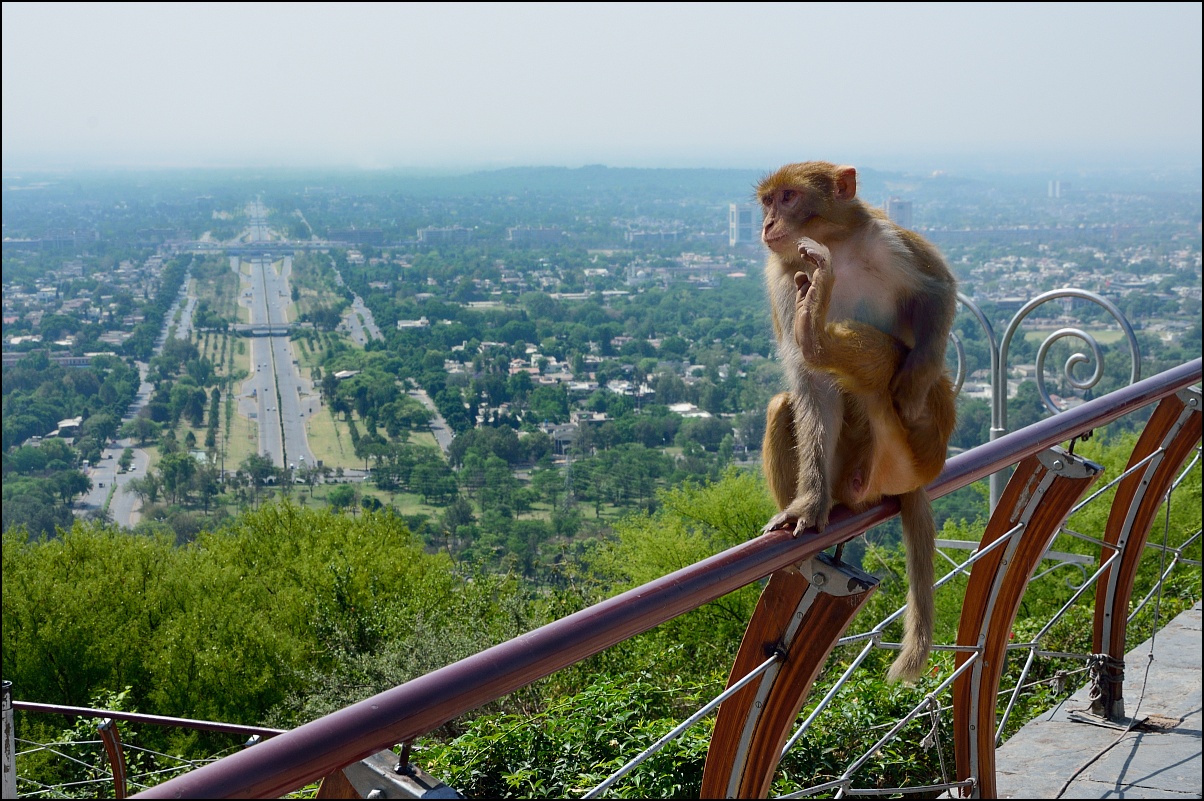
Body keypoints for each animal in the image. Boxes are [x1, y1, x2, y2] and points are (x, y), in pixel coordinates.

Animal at [756, 161, 953, 679]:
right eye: (767, 202)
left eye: (788, 197)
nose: (767, 224)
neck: (835, 247)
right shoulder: (782, 276)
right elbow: (811, 388)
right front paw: (808, 505)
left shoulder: (887, 237)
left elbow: (939, 289)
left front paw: (912, 386)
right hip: (850, 474)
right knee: (784, 402)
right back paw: (813, 325)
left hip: (917, 449)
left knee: (905, 365)